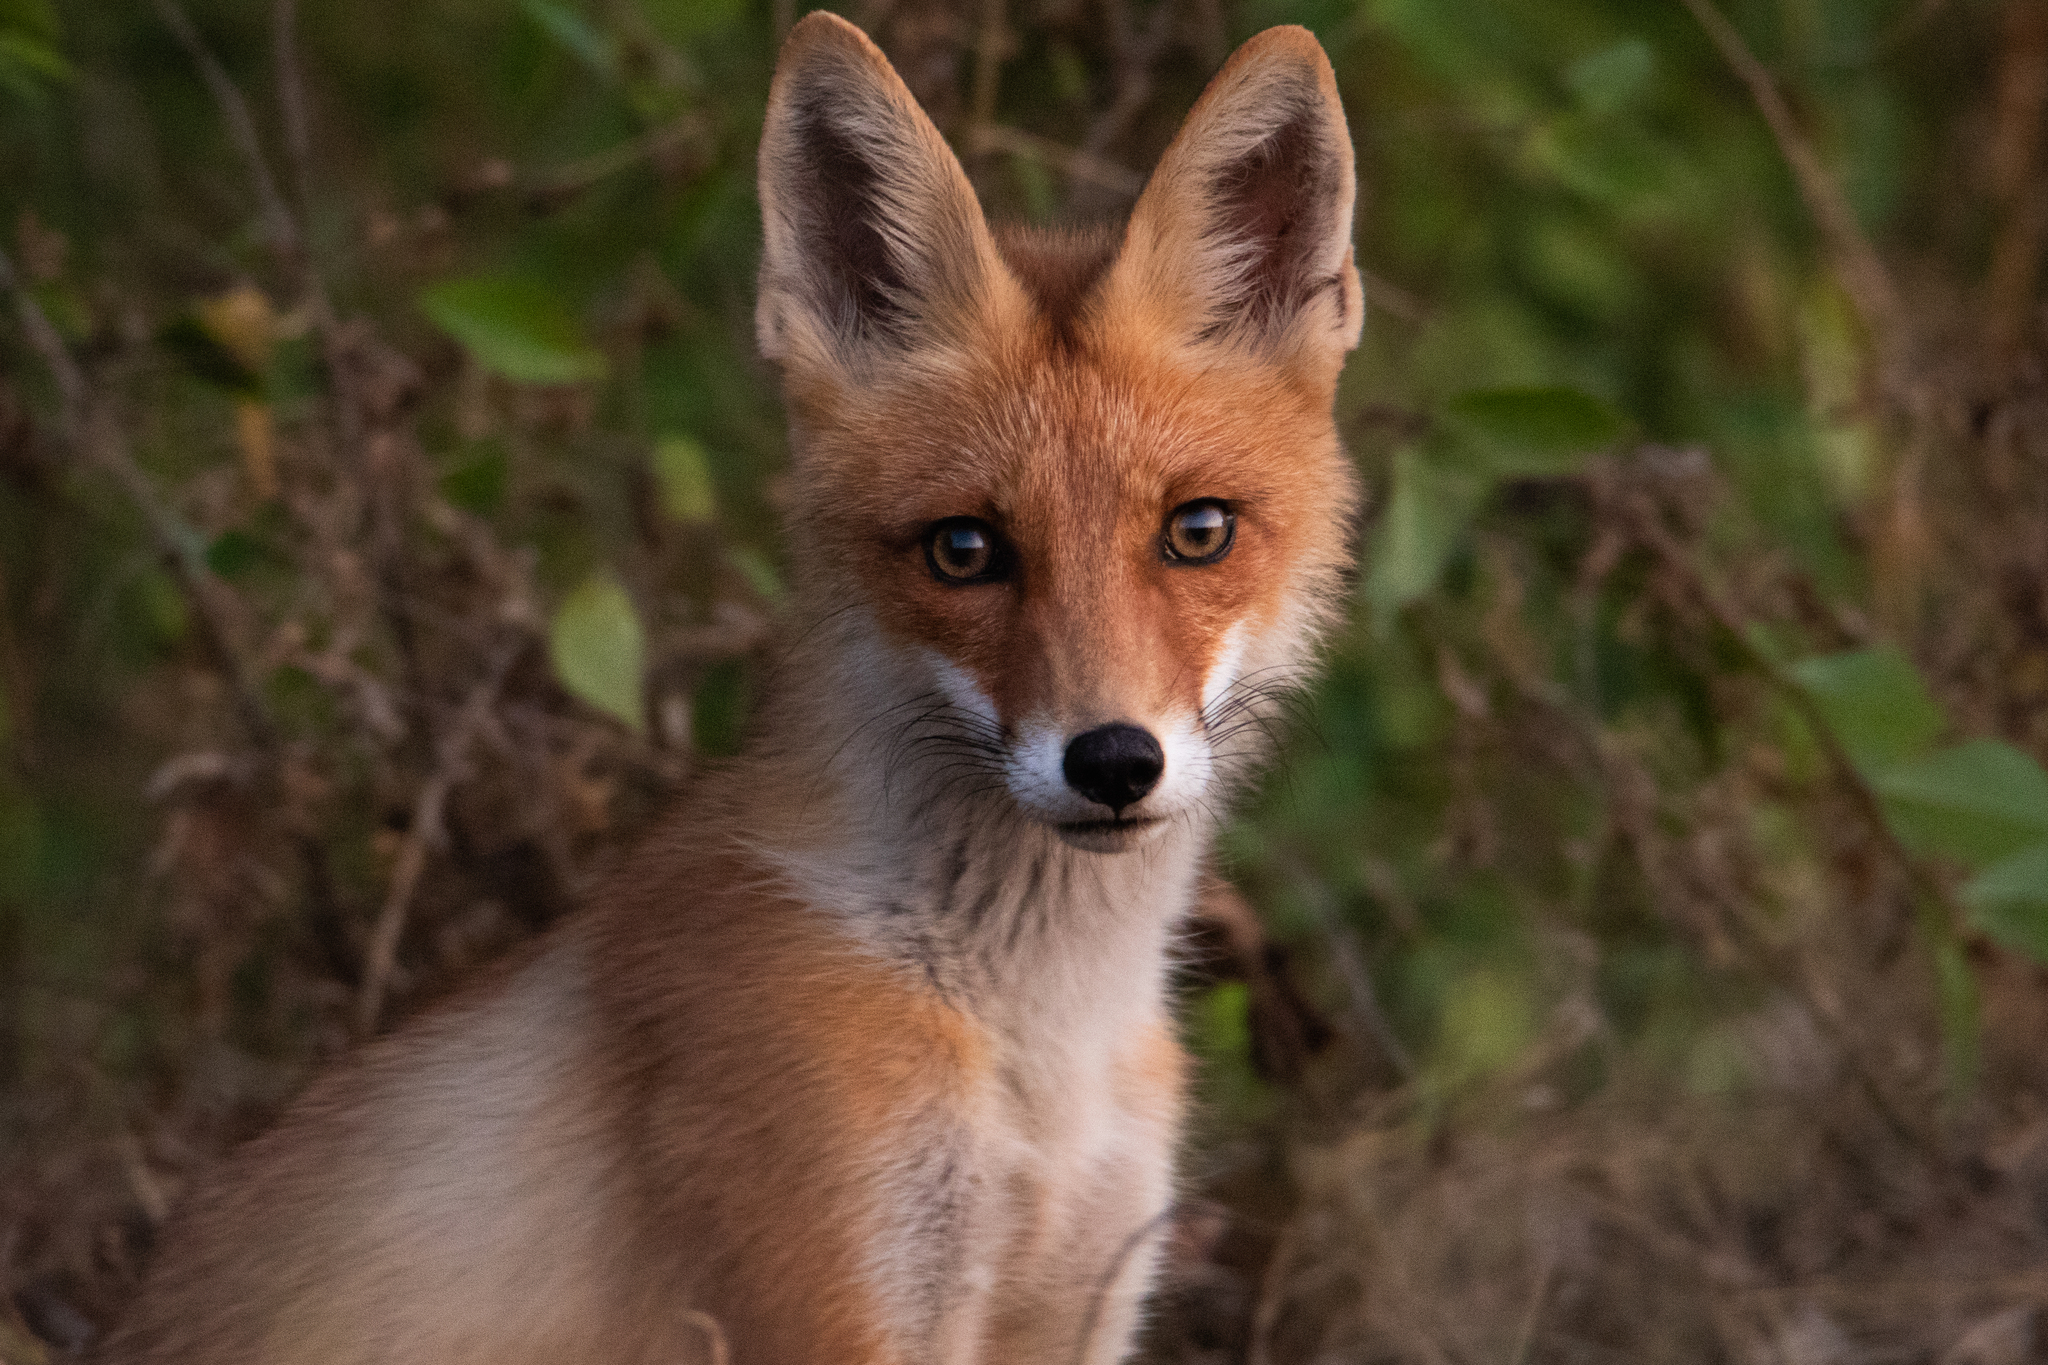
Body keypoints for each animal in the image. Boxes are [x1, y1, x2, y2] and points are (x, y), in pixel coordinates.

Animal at [103, 13, 1368, 1365]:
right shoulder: (825, 1304)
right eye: (962, 550)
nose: (1114, 761)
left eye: (1197, 532)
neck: (1038, 1035)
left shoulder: (1079, 1299)